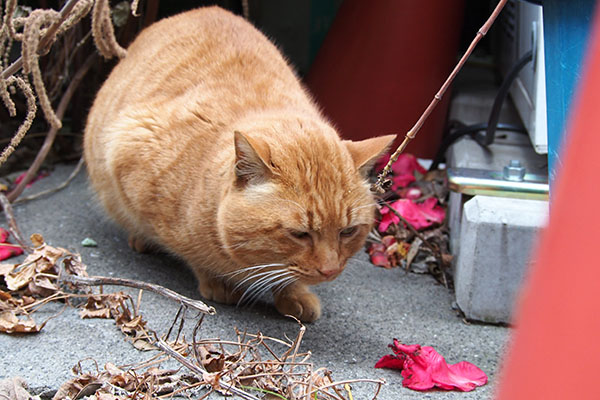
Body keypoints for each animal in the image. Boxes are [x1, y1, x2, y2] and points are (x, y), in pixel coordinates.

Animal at [84, 6, 394, 322]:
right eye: (300, 234)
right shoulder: (128, 150)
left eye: (348, 232)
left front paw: (293, 294)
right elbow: (193, 255)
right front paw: (216, 281)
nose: (330, 270)